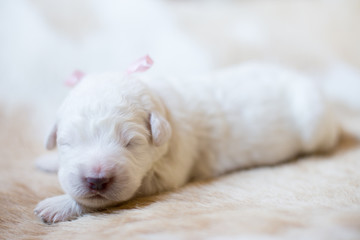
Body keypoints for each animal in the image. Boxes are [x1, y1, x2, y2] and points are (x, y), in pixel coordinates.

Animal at [33, 62, 340, 223]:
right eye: (67, 143)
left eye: (131, 143)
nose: (96, 180)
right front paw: (48, 161)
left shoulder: (167, 169)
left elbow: (115, 196)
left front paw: (58, 204)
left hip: (316, 126)